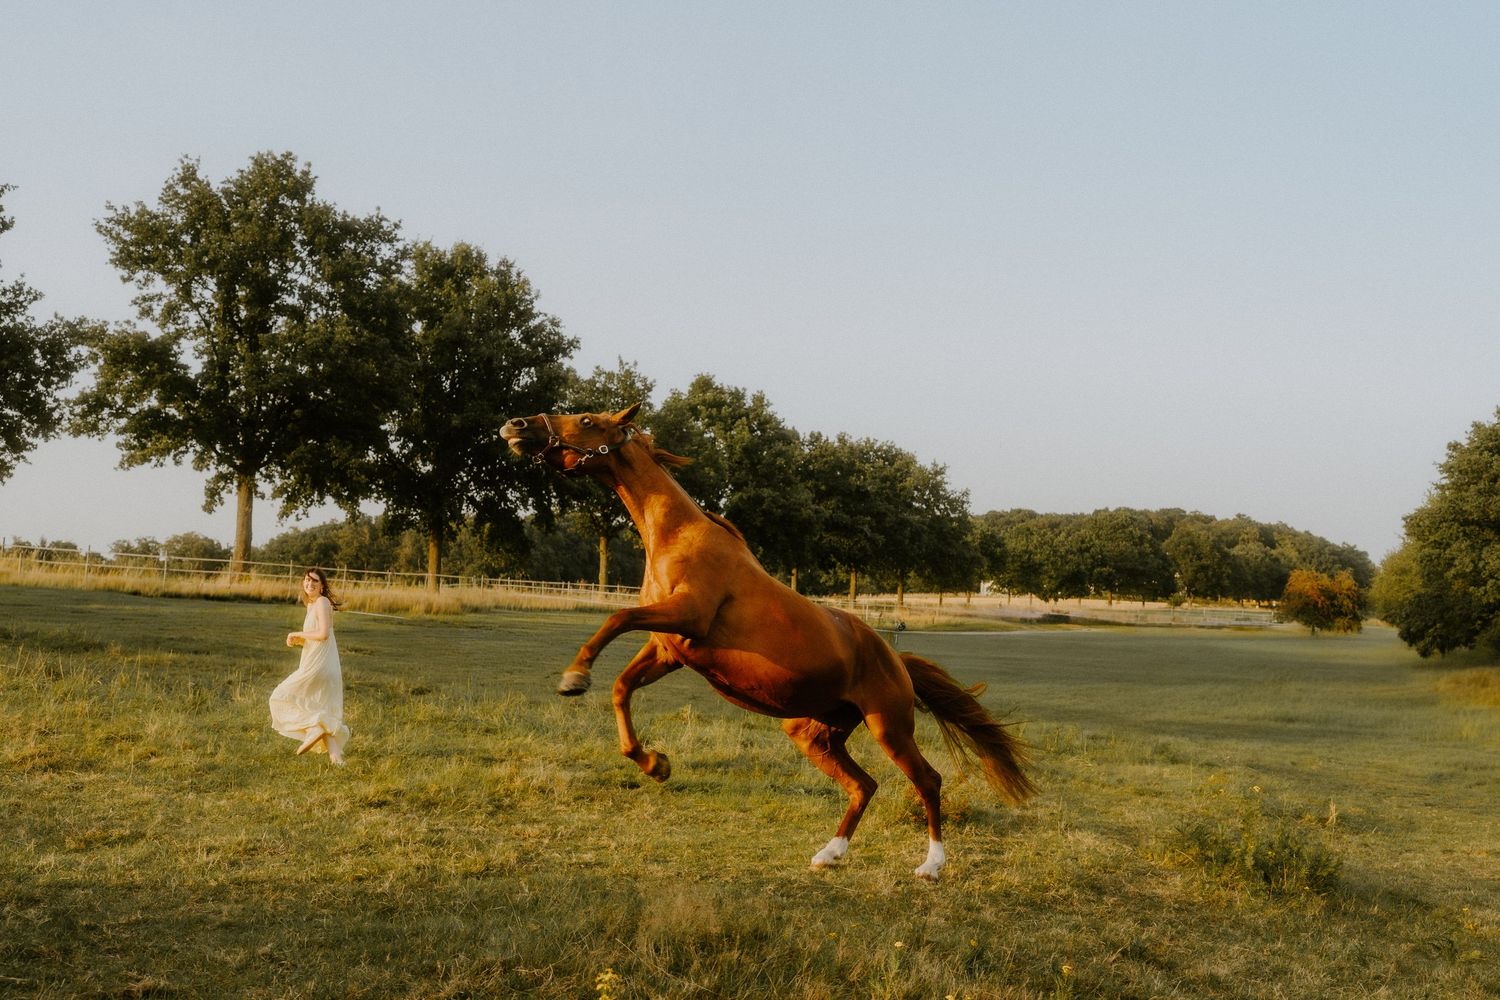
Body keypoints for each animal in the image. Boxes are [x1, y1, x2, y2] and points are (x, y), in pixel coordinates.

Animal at [501, 403, 1035, 880]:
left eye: (587, 420)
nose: (517, 425)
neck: (679, 537)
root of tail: (896, 659)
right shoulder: (669, 648)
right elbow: (621, 688)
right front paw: (655, 764)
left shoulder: (688, 617)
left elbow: (615, 617)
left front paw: (575, 677)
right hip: (814, 733)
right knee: (863, 785)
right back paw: (828, 854)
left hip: (890, 727)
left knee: (927, 781)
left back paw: (931, 866)